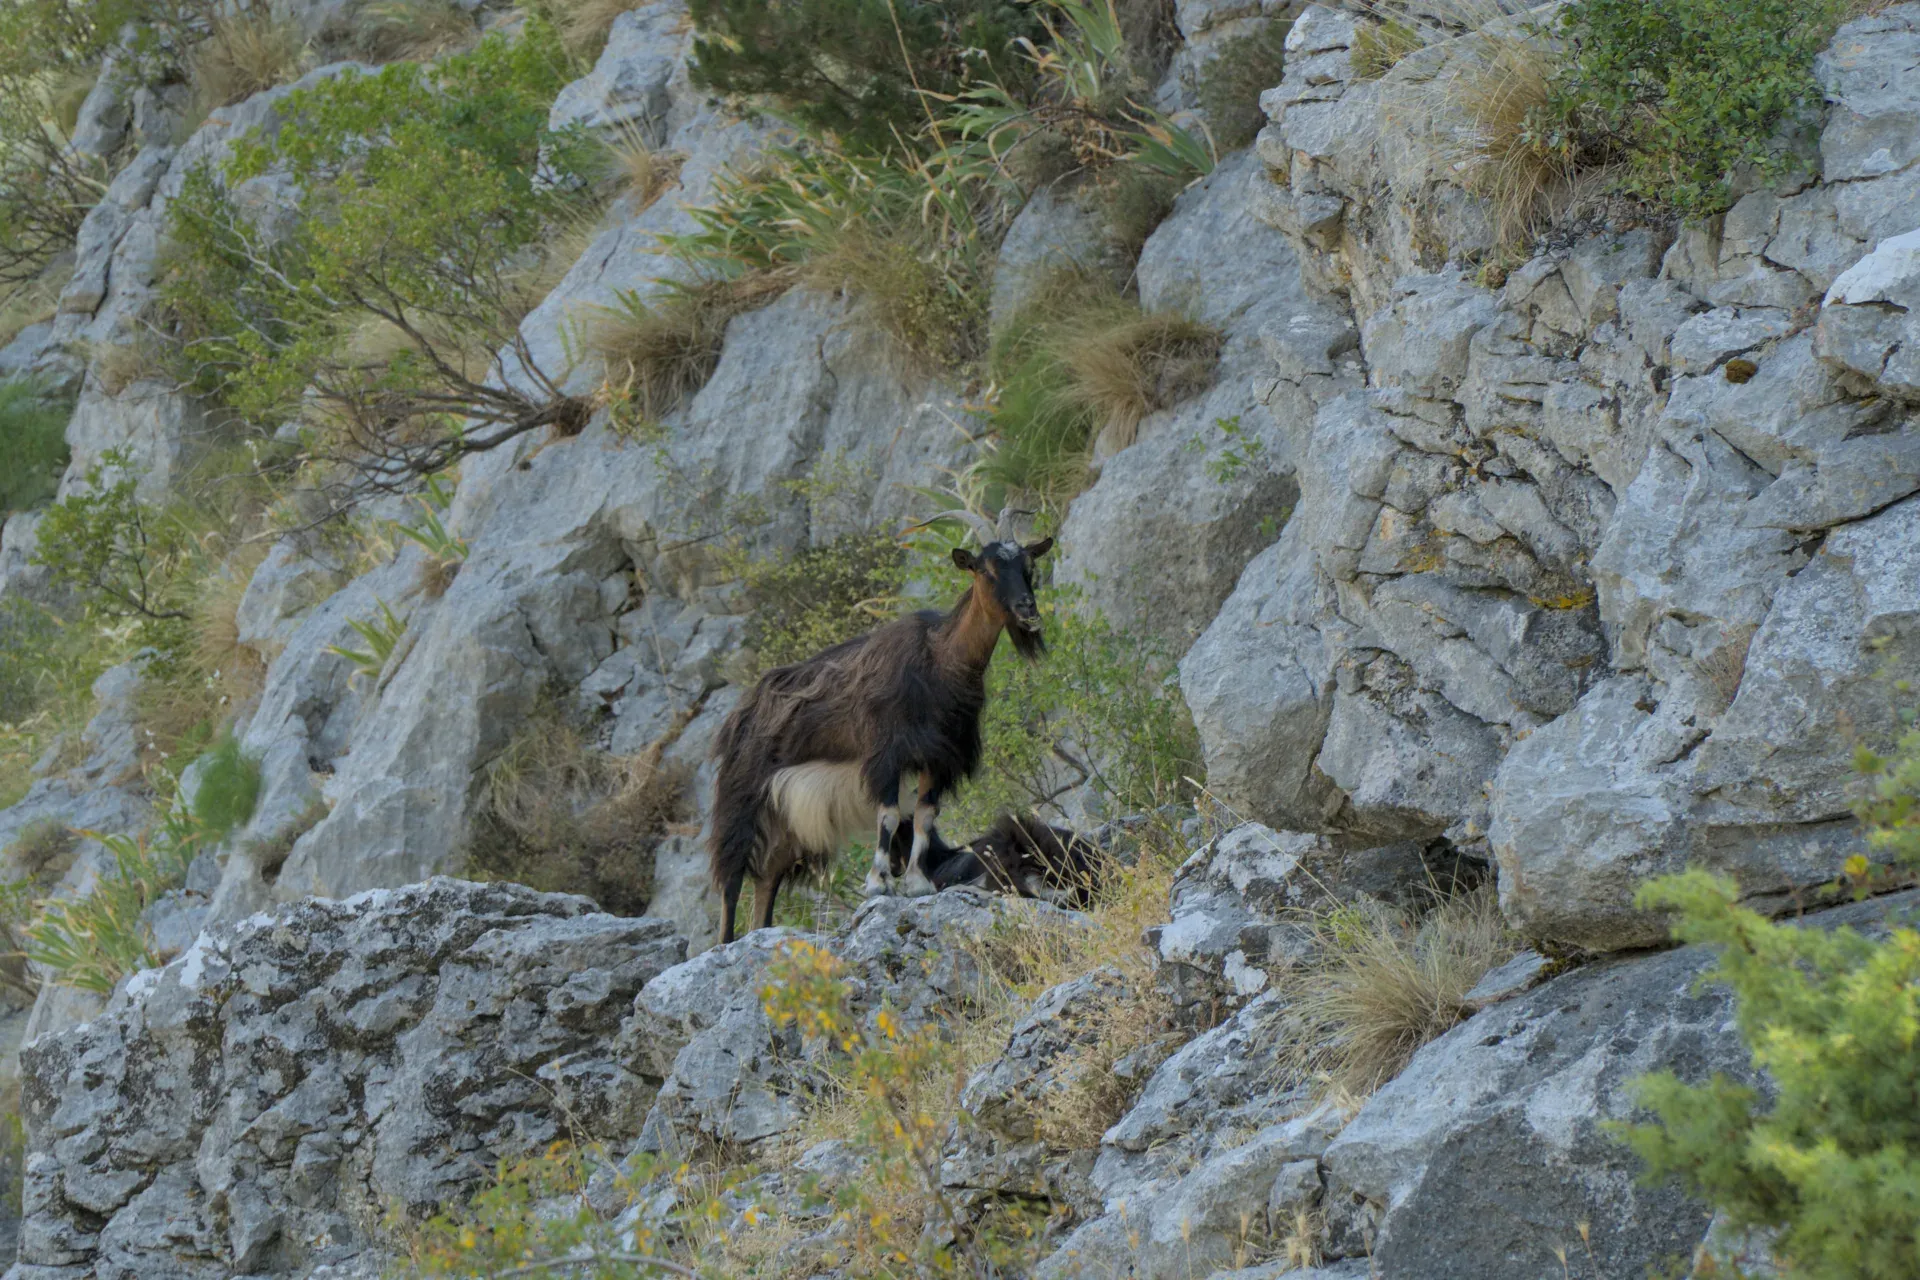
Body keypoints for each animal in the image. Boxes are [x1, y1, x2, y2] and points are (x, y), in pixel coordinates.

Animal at [708, 512, 1053, 943]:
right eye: (986, 569)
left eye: (1028, 566)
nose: (1027, 608)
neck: (941, 661)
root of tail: (742, 711)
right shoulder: (886, 754)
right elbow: (888, 815)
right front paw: (878, 883)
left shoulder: (937, 757)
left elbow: (924, 815)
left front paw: (917, 883)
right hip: (742, 793)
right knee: (731, 873)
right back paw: (725, 941)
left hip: (784, 813)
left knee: (768, 874)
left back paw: (760, 932)